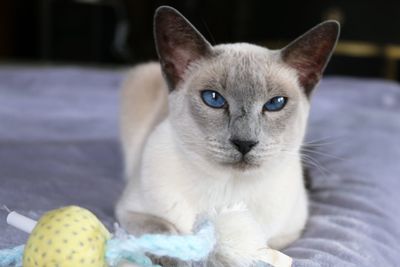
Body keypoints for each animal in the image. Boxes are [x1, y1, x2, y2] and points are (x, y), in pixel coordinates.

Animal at [116, 5, 340, 266]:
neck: (228, 191)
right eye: (213, 99)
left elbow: (251, 247)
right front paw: (180, 257)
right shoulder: (132, 212)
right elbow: (165, 233)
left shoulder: (288, 234)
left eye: (275, 103)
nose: (245, 143)